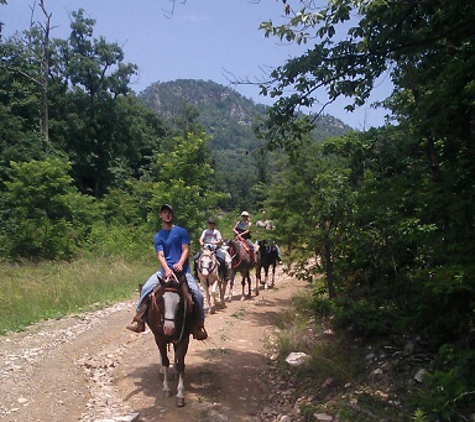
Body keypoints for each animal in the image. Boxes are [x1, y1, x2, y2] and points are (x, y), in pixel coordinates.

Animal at [146, 272, 196, 408]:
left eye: (180, 303)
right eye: (160, 301)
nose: (168, 328)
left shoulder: (184, 339)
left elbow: (181, 364)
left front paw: (180, 395)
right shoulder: (159, 338)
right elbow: (165, 361)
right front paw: (166, 388)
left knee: (175, 351)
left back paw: (174, 372)